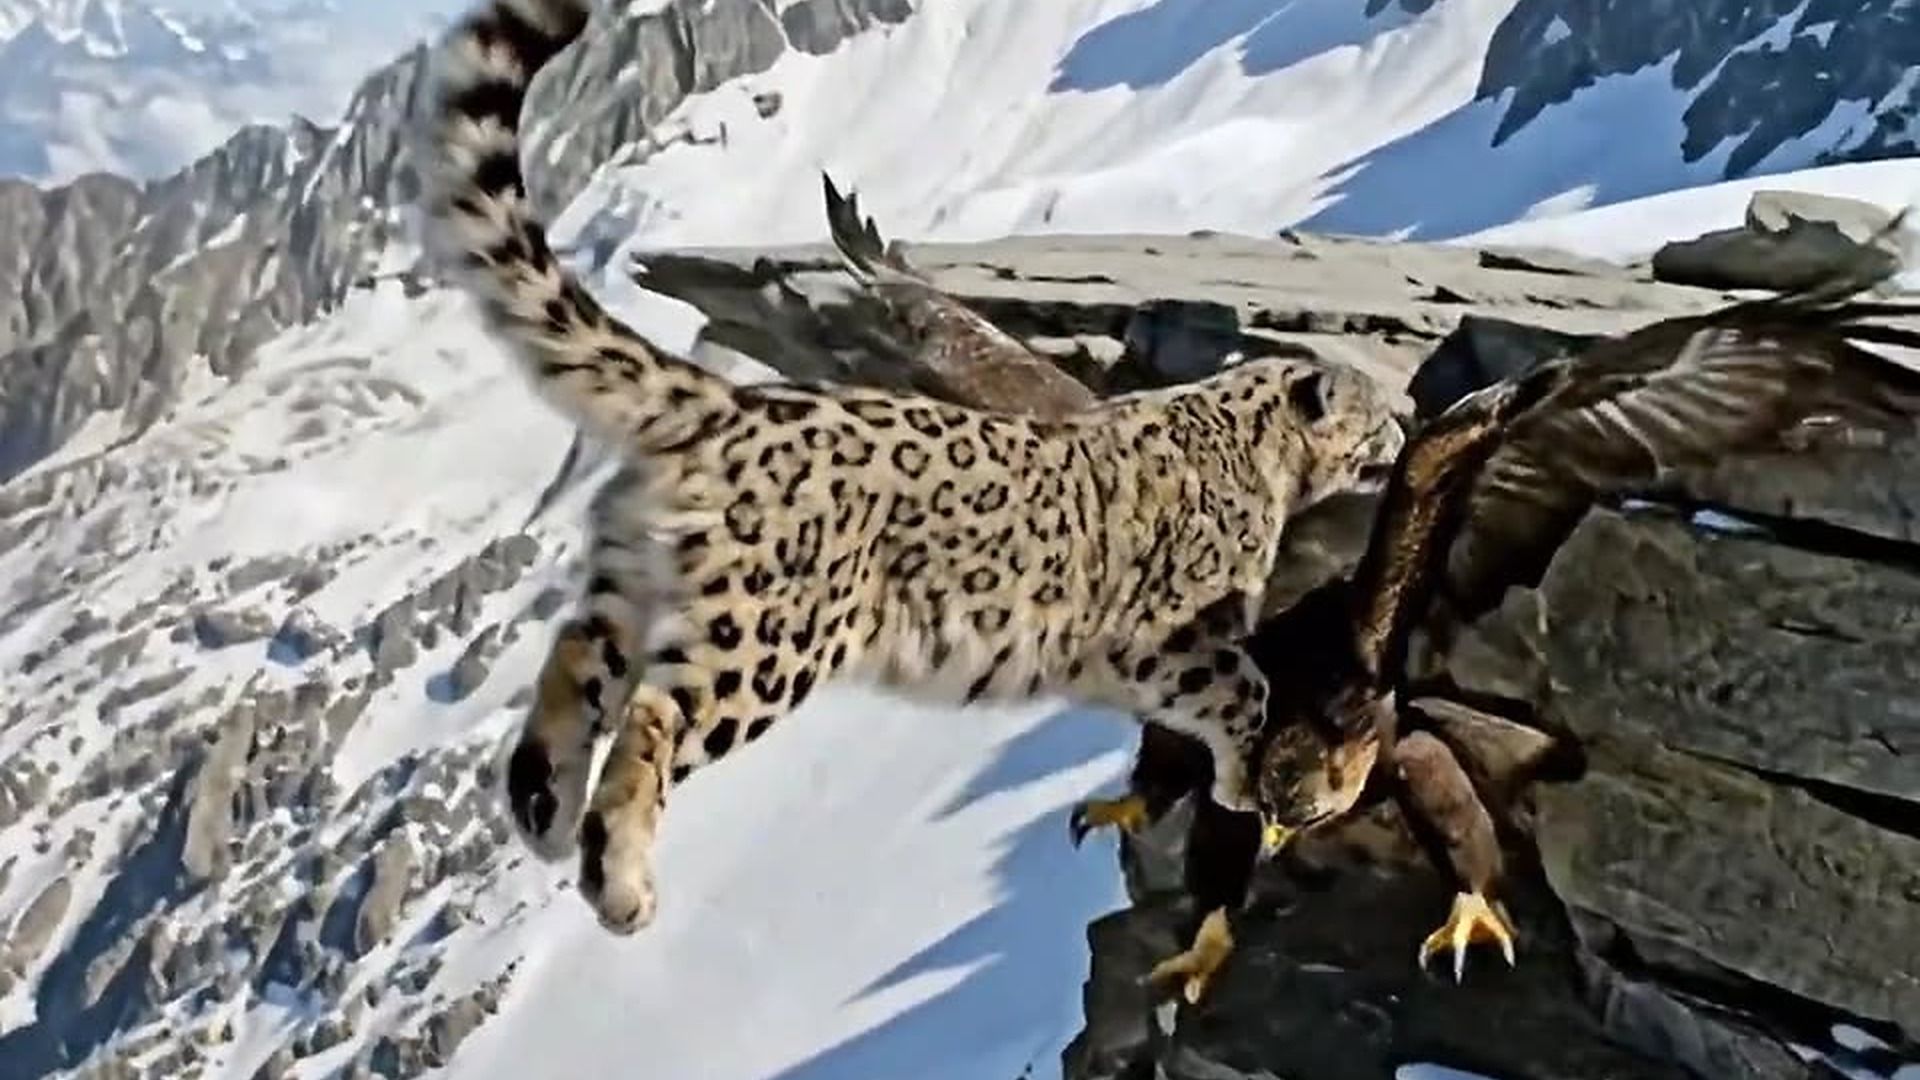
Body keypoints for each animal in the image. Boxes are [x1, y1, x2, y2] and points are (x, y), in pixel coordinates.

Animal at [419, 0, 1408, 935]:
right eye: (1371, 415)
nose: (1402, 430)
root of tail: (729, 402)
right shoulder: (1178, 633)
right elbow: (1242, 689)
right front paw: (1243, 782)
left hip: (635, 575)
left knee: (577, 657)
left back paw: (543, 806)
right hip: (771, 634)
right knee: (658, 718)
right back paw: (620, 881)